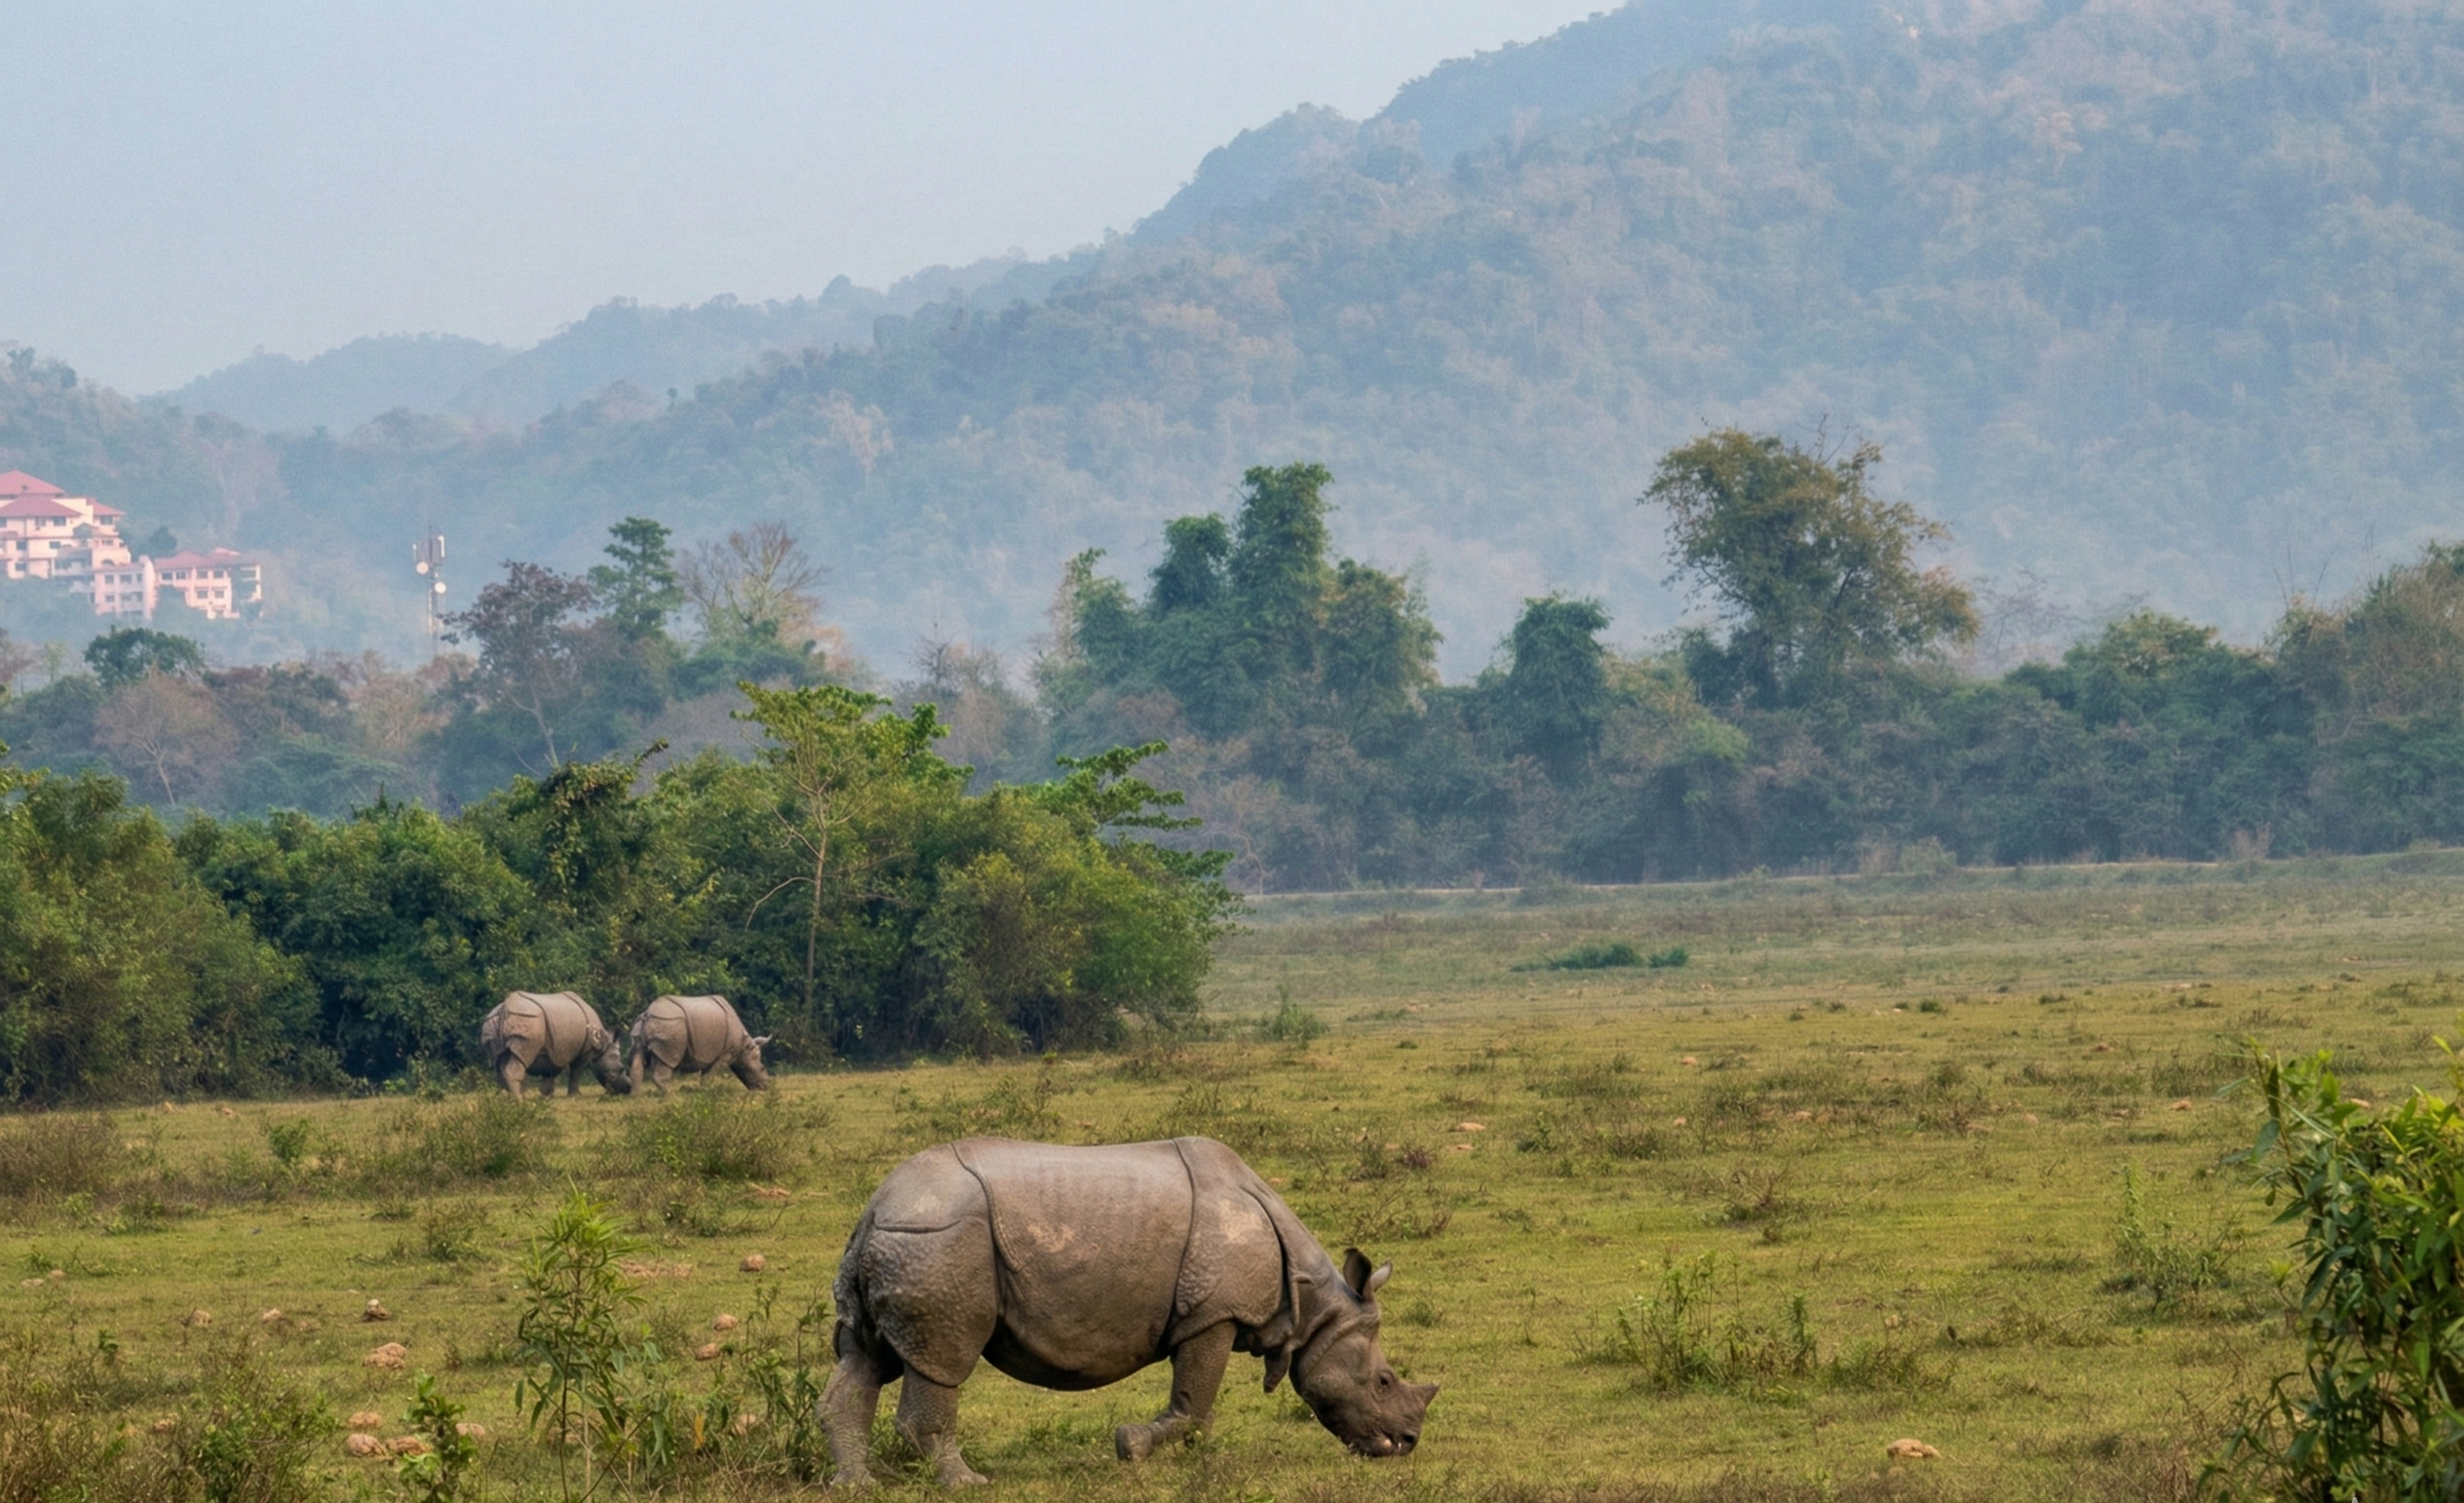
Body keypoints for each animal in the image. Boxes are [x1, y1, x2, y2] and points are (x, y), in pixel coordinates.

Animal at [479, 991, 629, 1098]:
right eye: (619, 1069)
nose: (627, 1088)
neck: (602, 1043)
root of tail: (505, 1007)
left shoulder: (554, 1051)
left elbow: (550, 1072)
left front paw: (546, 1096)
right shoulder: (585, 1051)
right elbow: (576, 1071)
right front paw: (575, 1096)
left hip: (492, 1022)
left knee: (499, 1062)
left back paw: (502, 1101)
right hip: (529, 1021)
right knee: (518, 1059)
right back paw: (518, 1101)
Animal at [627, 994, 771, 1092]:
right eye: (762, 1068)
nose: (764, 1087)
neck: (744, 1046)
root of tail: (647, 1013)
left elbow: (707, 1073)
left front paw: (703, 1091)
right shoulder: (725, 1053)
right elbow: (710, 1073)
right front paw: (706, 1091)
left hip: (643, 1025)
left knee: (638, 1055)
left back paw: (636, 1097)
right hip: (670, 1025)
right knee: (669, 1060)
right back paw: (671, 1096)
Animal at [821, 1135, 1436, 1488]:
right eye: (1383, 1381)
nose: (1407, 1444)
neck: (1312, 1306)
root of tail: (876, 1206)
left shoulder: (1212, 1313)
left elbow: (1195, 1403)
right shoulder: (1213, 1313)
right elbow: (1194, 1403)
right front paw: (1130, 1448)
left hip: (907, 1240)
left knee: (867, 1358)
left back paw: (854, 1487)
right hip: (942, 1241)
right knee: (942, 1359)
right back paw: (967, 1484)